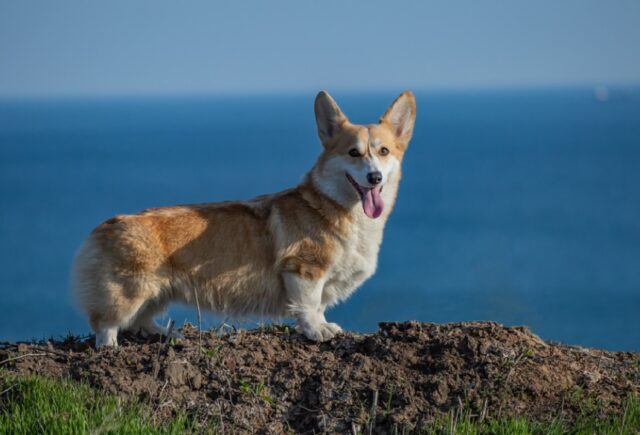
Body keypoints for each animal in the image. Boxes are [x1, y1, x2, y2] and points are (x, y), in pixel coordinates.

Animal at [72, 91, 418, 348]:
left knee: (140, 320)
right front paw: (317, 330)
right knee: (106, 322)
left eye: (384, 151)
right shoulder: (304, 270)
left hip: (158, 292)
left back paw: (162, 333)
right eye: (353, 153)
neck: (336, 207)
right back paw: (110, 346)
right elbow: (309, 305)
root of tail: (104, 226)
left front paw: (322, 325)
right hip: (129, 291)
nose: (374, 178)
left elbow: (318, 305)